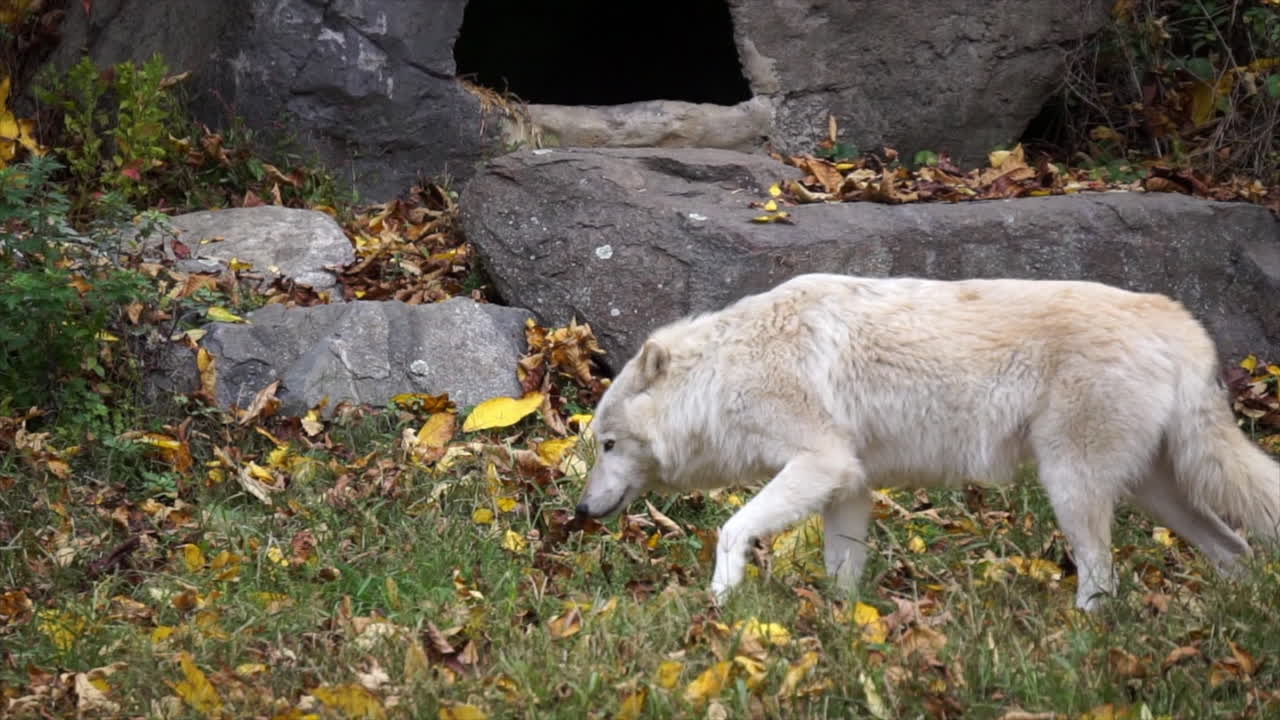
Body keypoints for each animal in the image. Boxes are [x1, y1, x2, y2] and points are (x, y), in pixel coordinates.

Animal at [573, 273, 1280, 610]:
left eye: (607, 445)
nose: (579, 511)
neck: (724, 372)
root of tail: (1179, 320)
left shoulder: (821, 462)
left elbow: (730, 530)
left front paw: (720, 601)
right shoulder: (848, 484)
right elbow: (843, 571)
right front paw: (842, 627)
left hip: (1073, 487)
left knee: (1101, 575)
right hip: (1155, 491)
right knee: (1236, 547)